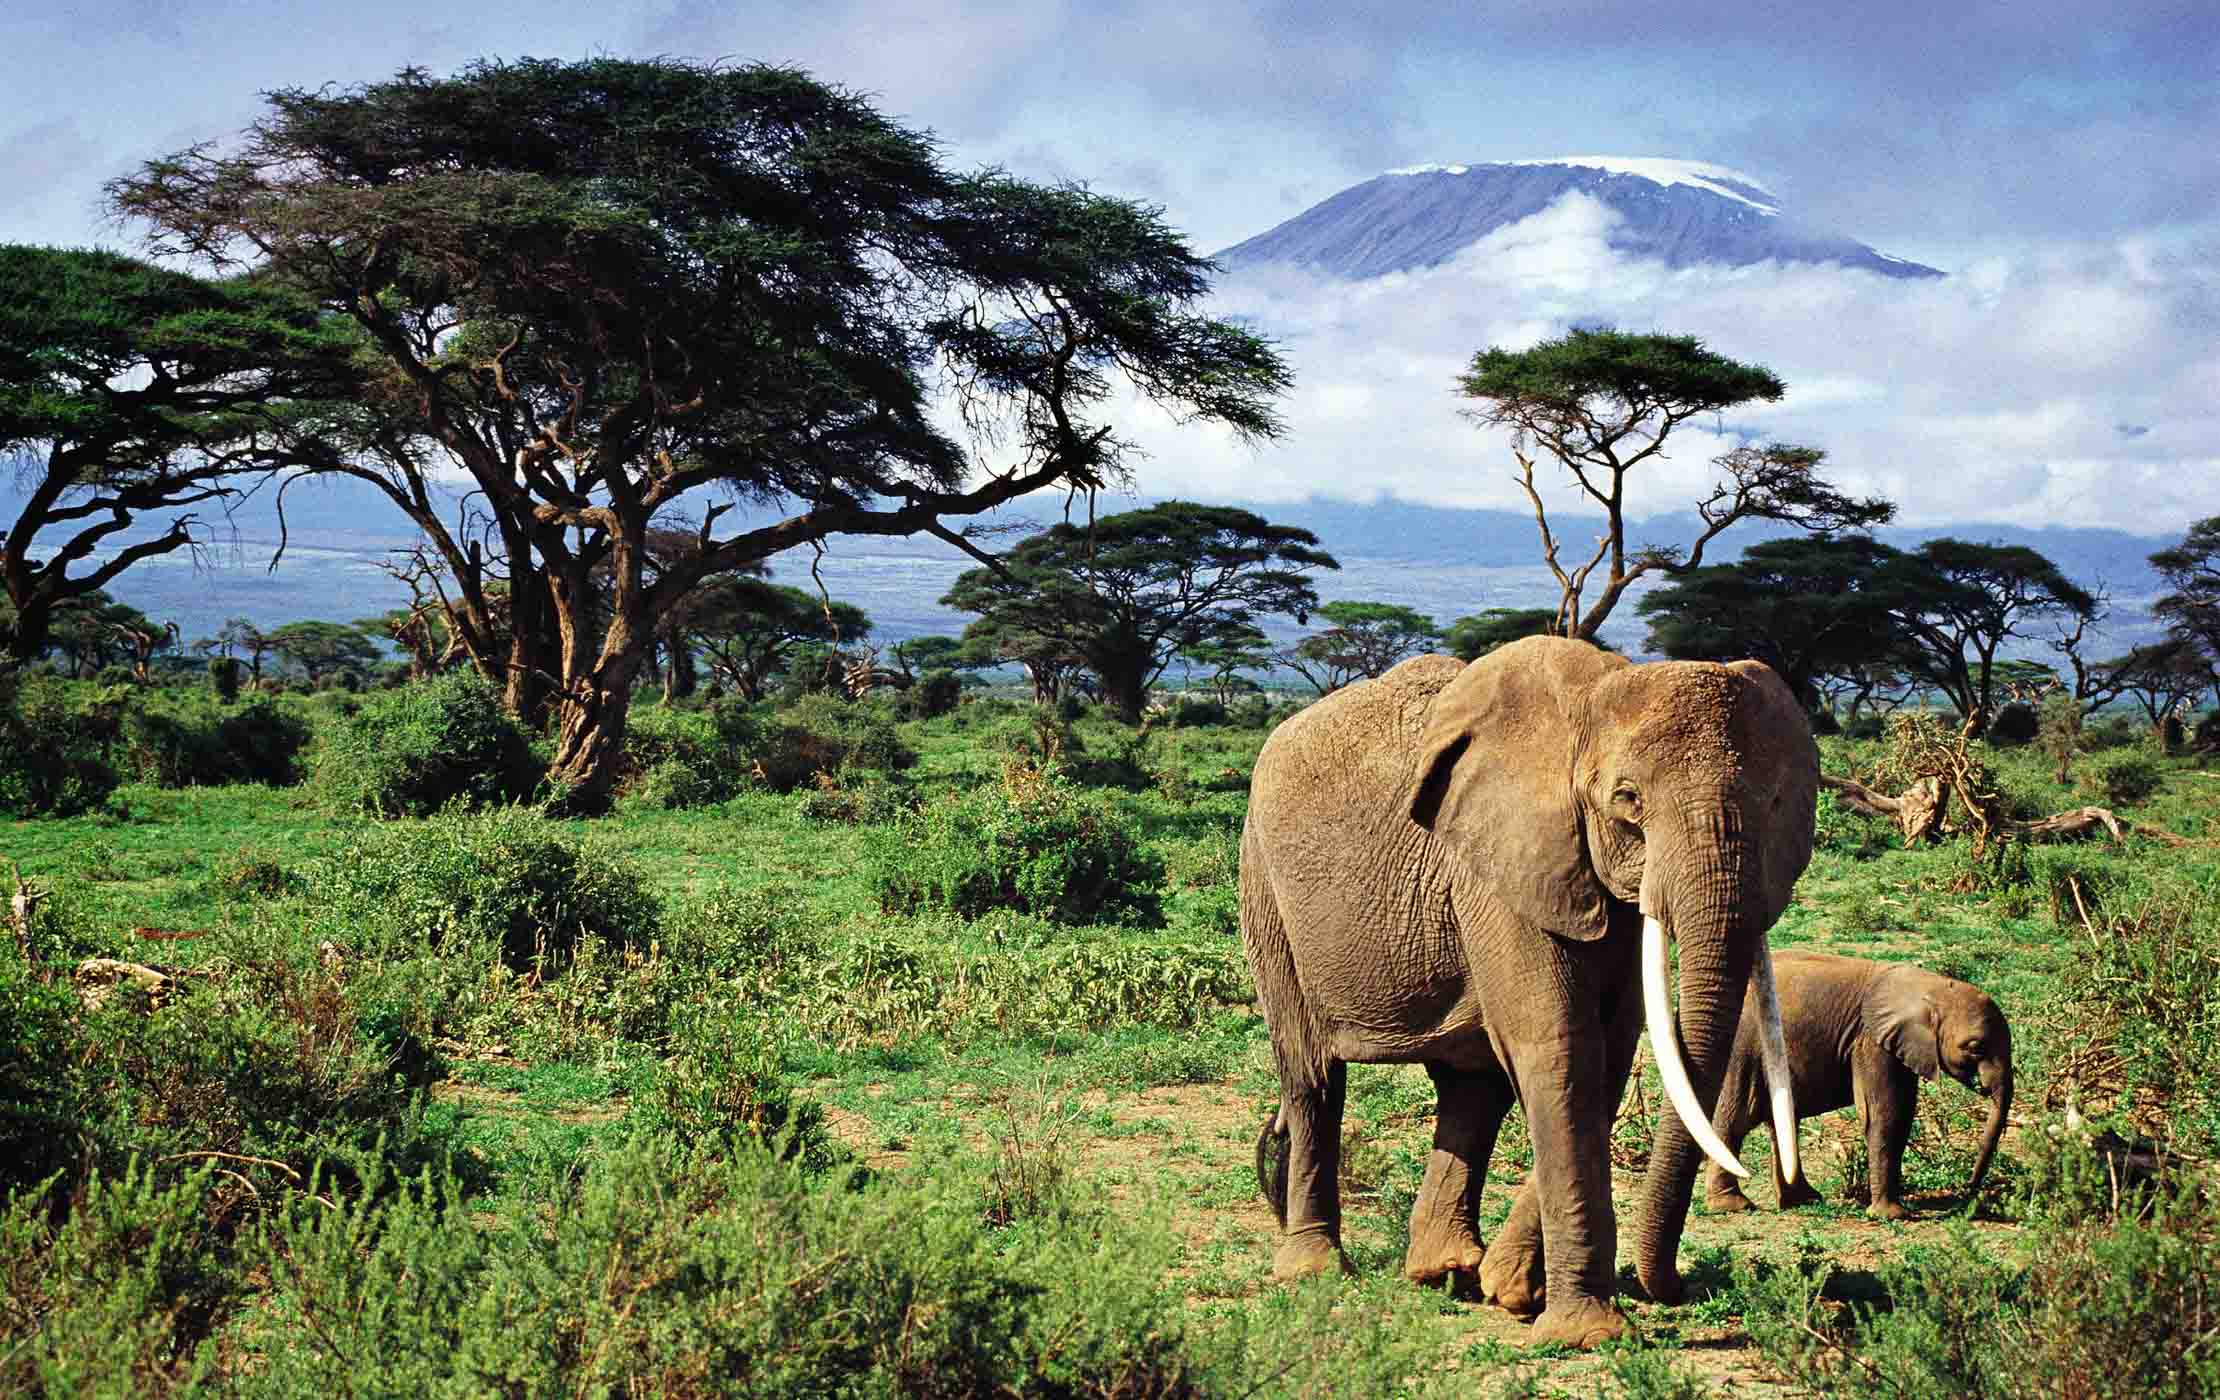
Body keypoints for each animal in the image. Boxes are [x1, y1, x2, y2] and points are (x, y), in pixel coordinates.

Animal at [1243, 634, 1811, 1348]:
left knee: (1470, 1086)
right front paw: (1587, 1334)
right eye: (1628, 801)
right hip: (1265, 886)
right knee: (1313, 1076)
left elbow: (1609, 1049)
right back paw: (1314, 1271)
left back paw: (1446, 1272)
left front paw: (1514, 1291)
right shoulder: (1498, 864)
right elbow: (1560, 1045)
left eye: (1776, 805)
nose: (1677, 1288)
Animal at [1696, 954, 2015, 1215]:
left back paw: (1803, 1200)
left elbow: (1902, 1112)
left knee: (1782, 1121)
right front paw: (1890, 1215)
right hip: (1742, 1047)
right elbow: (1883, 1114)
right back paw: (1732, 1205)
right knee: (1738, 1117)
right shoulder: (1871, 1041)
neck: (1929, 987)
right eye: (1975, 1047)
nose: (1969, 1189)